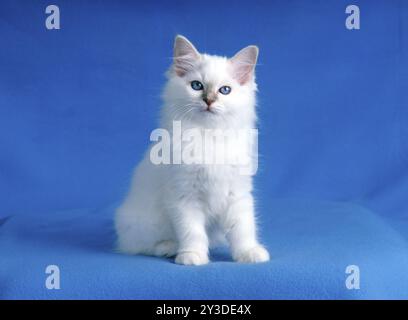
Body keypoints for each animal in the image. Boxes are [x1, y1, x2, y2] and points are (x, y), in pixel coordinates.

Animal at [115, 35, 270, 264]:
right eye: (197, 86)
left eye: (225, 90)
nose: (209, 100)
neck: (209, 135)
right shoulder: (184, 196)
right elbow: (192, 231)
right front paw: (192, 256)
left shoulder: (237, 193)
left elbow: (242, 228)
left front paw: (249, 252)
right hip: (143, 223)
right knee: (142, 245)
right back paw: (169, 248)